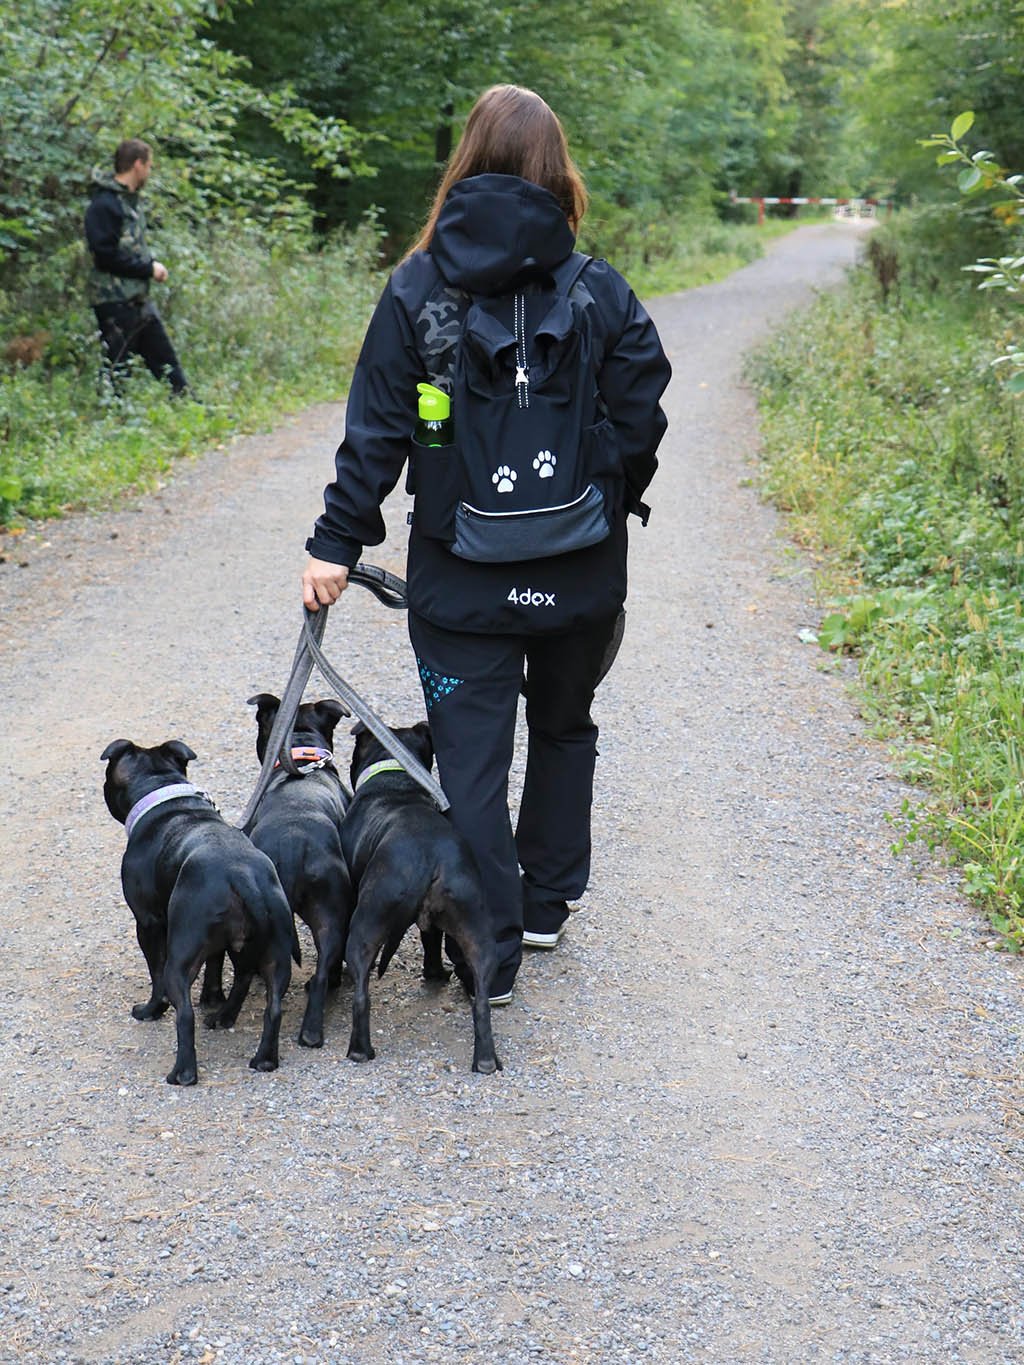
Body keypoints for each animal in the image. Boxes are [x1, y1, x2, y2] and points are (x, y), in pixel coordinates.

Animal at [342, 726, 502, 1075]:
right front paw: (435, 974)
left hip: (365, 926)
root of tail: (427, 858)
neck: (397, 778)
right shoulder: (433, 922)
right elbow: (431, 944)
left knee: (361, 994)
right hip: (478, 932)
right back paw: (486, 1061)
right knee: (482, 1003)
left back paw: (359, 1051)